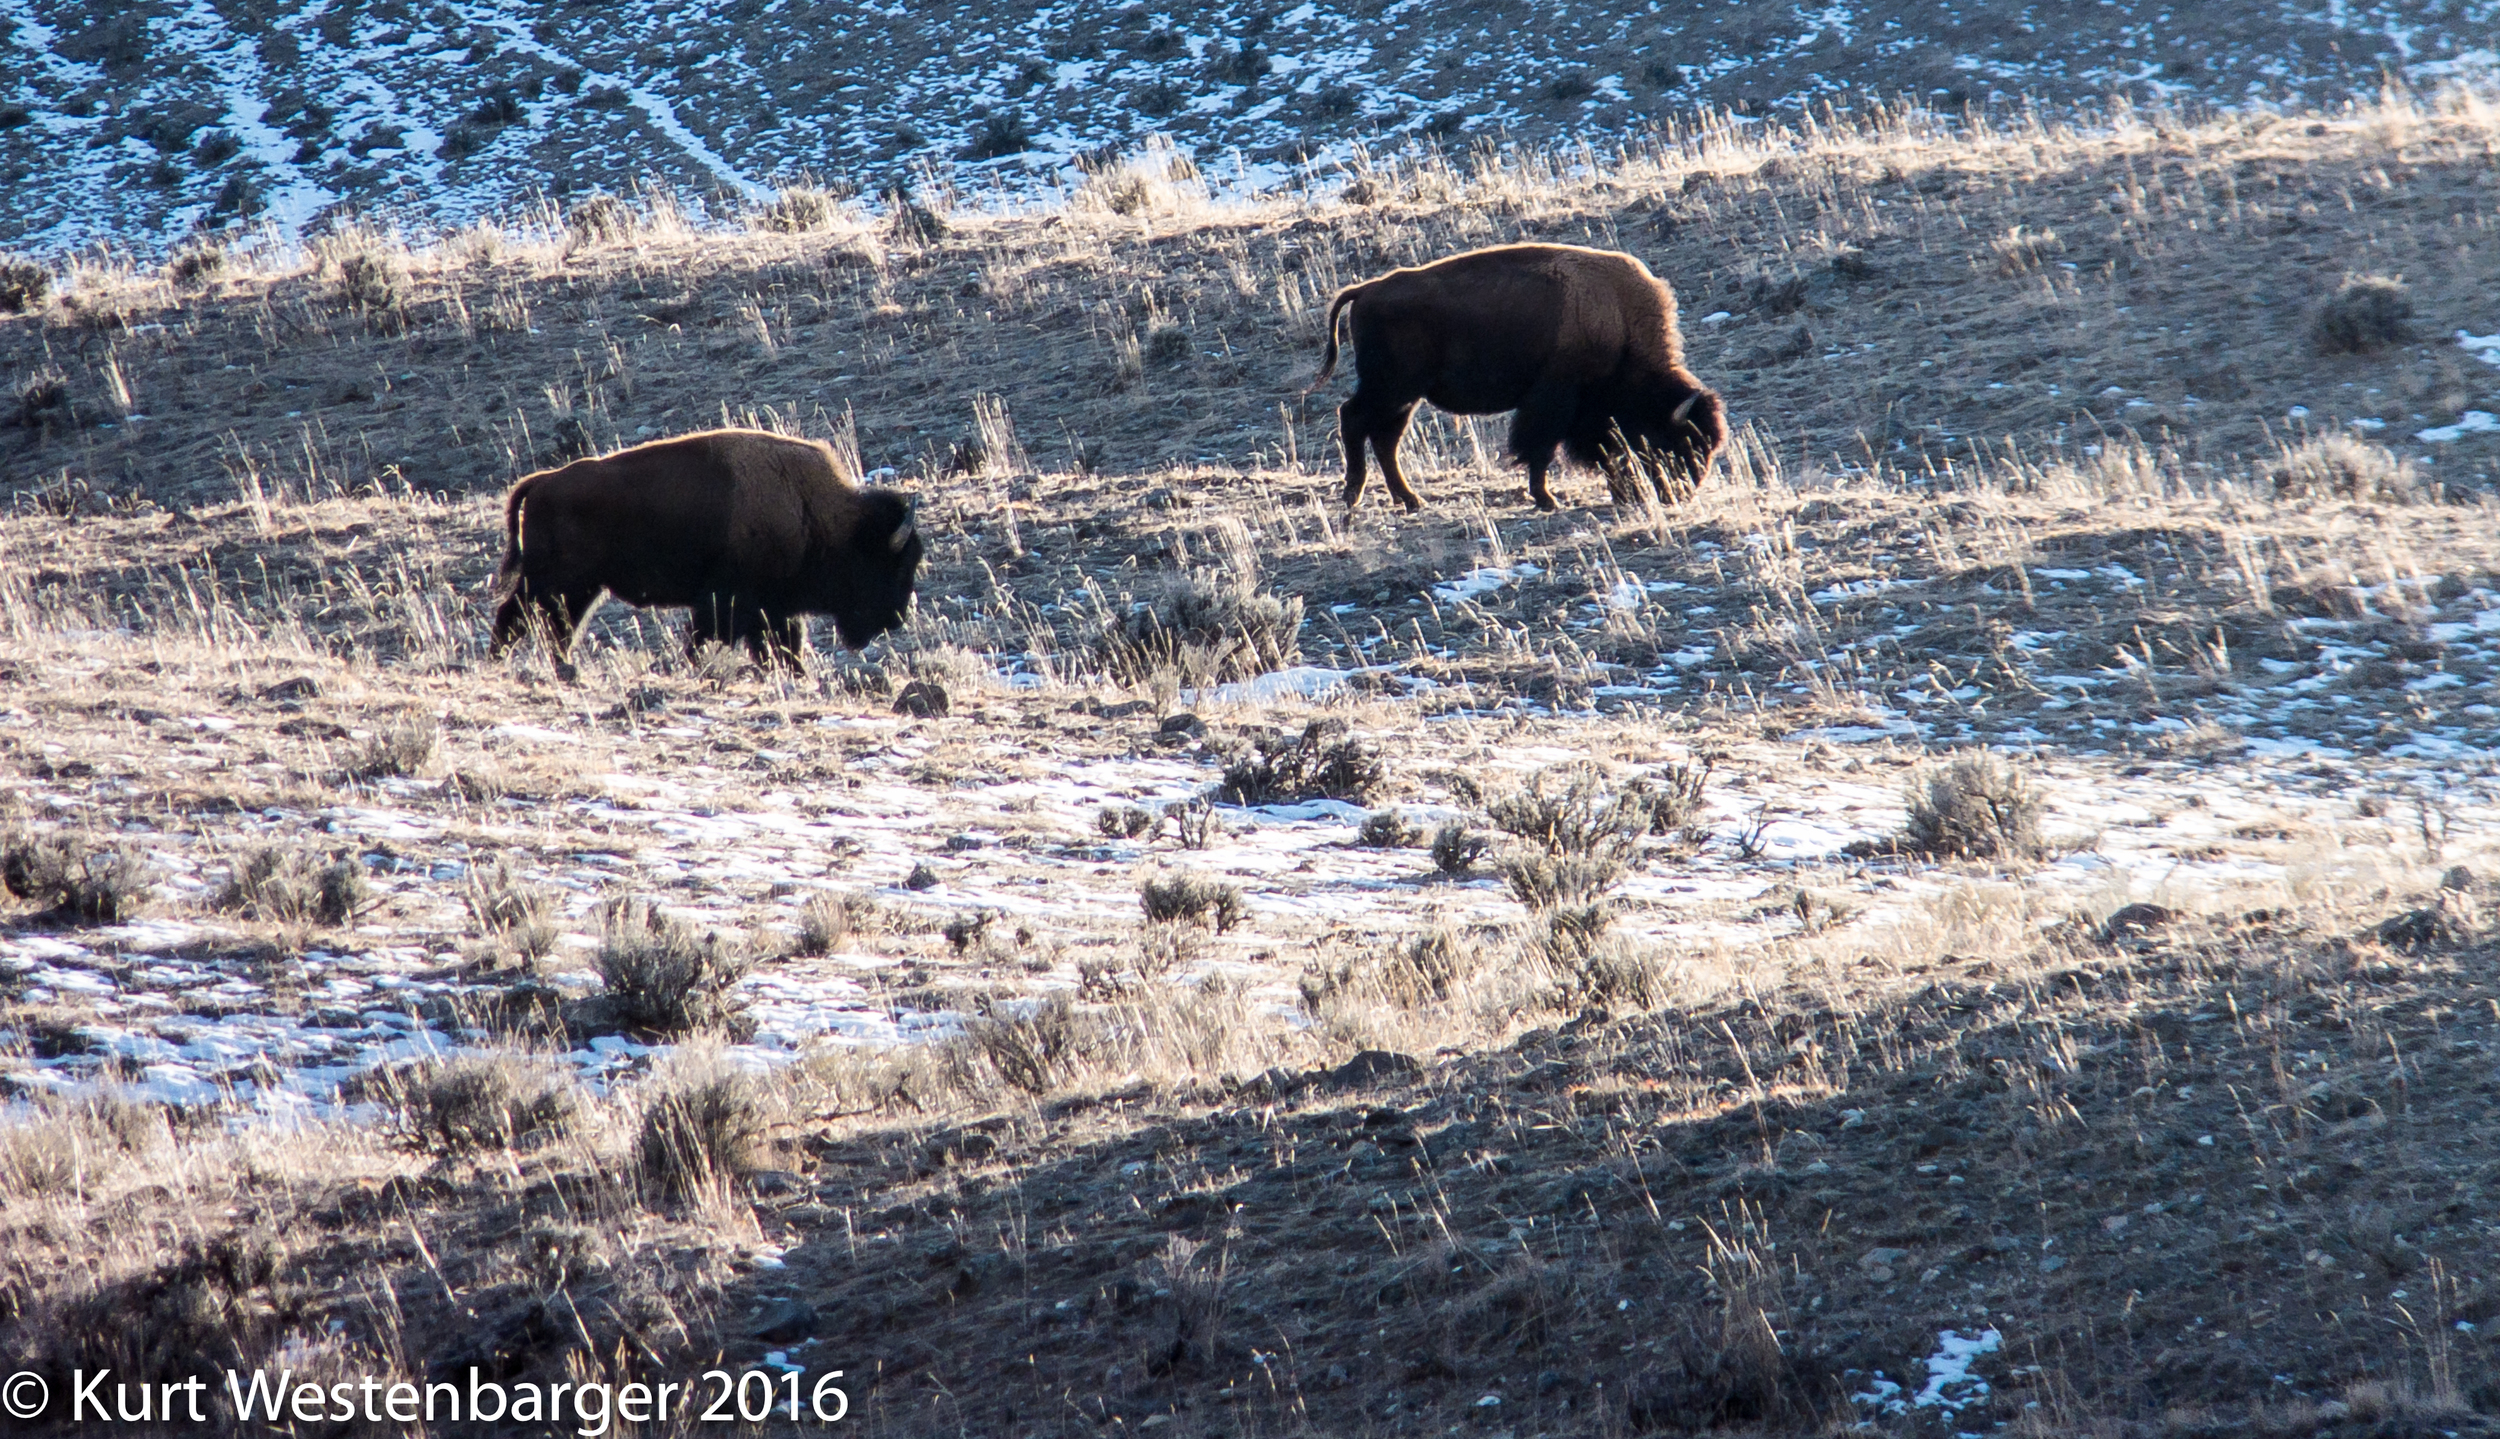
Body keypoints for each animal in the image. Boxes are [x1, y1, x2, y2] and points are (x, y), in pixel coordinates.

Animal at [482, 424, 925, 669]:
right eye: (894, 565)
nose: (895, 619)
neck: (815, 512)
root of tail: (542, 481)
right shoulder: (727, 604)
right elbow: (707, 640)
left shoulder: (772, 611)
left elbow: (782, 648)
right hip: (554, 582)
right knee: (517, 618)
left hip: (578, 588)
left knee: (555, 628)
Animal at [1310, 244, 1720, 514]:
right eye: (1679, 441)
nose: (1680, 493)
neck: (1618, 322)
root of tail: (1365, 290)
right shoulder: (1553, 401)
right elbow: (1540, 449)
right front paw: (1546, 499)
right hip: (1390, 388)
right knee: (1353, 419)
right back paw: (1354, 496)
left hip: (1405, 396)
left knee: (1384, 439)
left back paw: (1411, 500)